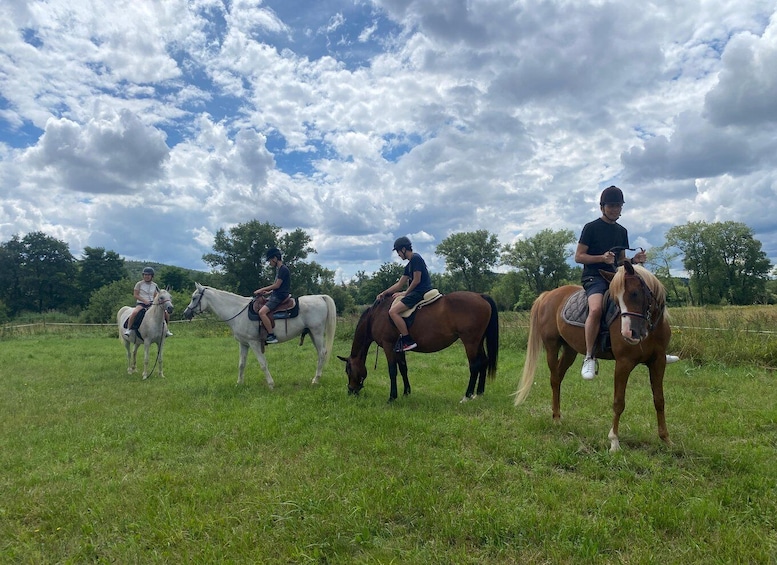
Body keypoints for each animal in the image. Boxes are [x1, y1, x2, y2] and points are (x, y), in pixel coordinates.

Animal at [185, 282, 340, 388]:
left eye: (194, 298)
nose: (185, 313)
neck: (237, 311)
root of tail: (320, 297)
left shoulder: (254, 343)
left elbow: (263, 364)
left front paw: (271, 384)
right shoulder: (244, 344)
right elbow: (241, 364)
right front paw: (239, 383)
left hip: (317, 332)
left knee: (322, 353)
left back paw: (316, 380)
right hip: (312, 334)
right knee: (321, 354)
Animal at [338, 290, 498, 400]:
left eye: (348, 370)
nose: (350, 390)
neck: (376, 315)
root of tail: (481, 296)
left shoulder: (389, 346)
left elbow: (392, 371)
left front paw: (392, 397)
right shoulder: (399, 349)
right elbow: (403, 368)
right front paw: (406, 392)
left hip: (470, 342)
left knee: (474, 366)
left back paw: (467, 395)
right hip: (478, 342)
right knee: (484, 362)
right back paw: (479, 393)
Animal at [512, 262, 668, 452]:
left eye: (635, 293)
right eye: (616, 301)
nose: (628, 333)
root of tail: (547, 295)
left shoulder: (659, 362)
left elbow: (659, 400)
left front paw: (665, 439)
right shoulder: (623, 363)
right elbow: (619, 402)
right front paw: (614, 441)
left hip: (569, 350)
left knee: (559, 377)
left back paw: (558, 415)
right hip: (551, 346)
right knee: (554, 379)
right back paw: (555, 418)